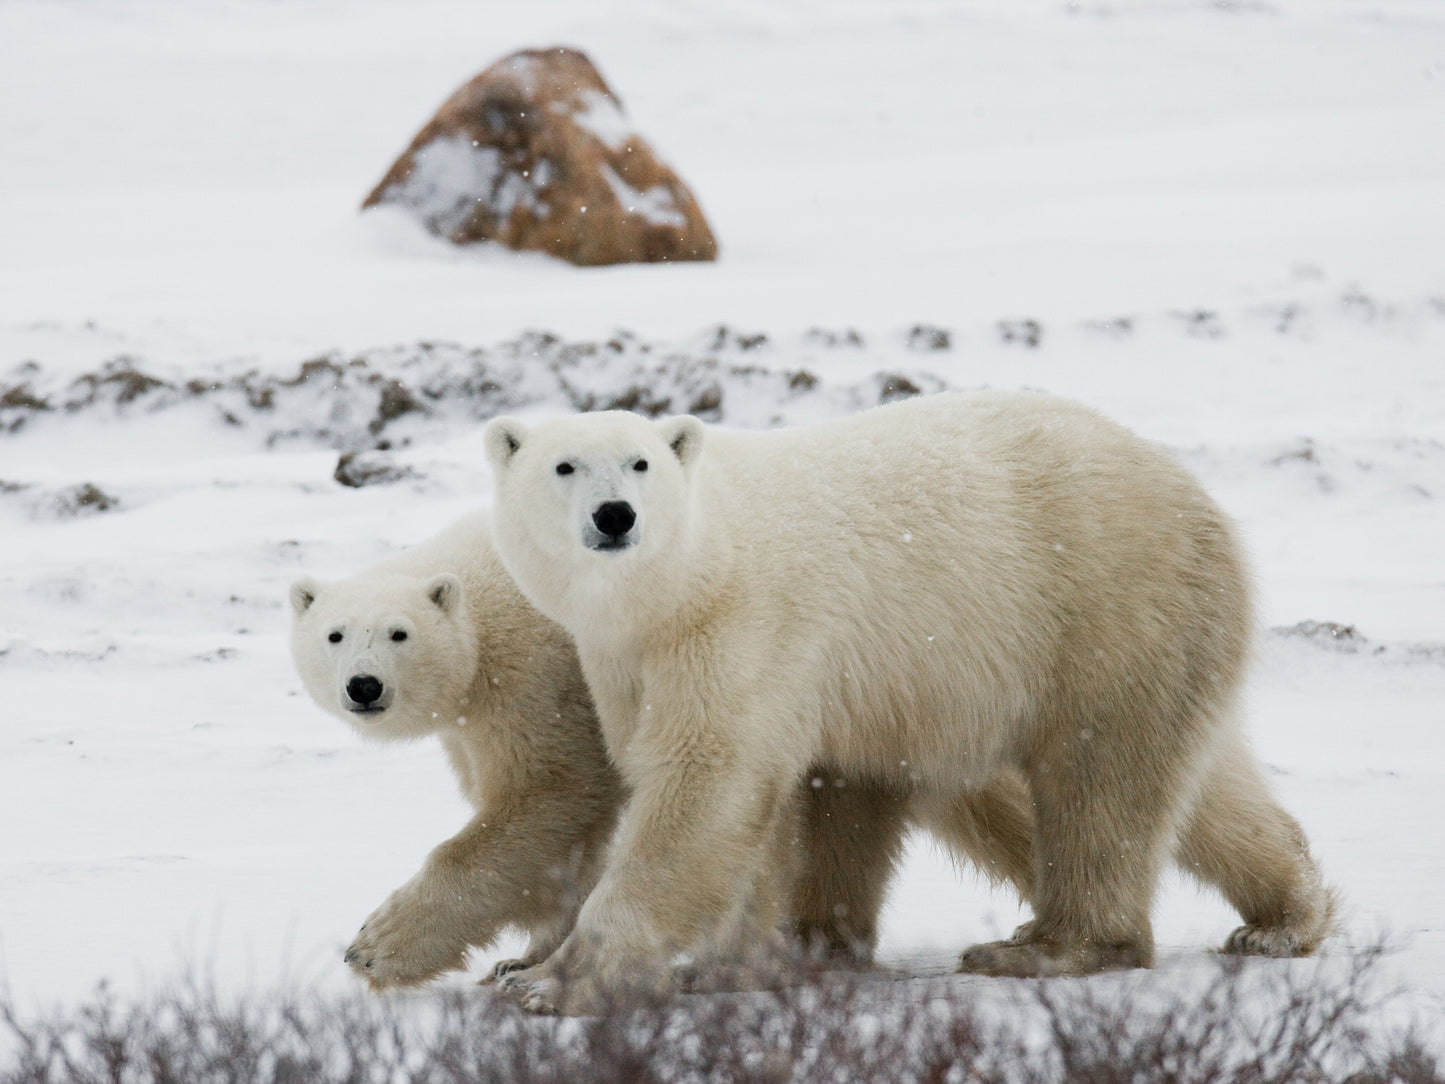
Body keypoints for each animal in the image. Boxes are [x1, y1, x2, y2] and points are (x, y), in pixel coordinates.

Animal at [288, 511, 625, 989]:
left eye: (399, 633)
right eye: (335, 635)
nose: (364, 685)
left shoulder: (540, 676)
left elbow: (547, 790)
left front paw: (375, 948)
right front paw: (522, 959)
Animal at [483, 389, 1339, 1014]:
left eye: (639, 462)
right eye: (563, 466)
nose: (614, 516)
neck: (688, 576)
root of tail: (1194, 497)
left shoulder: (738, 632)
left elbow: (703, 788)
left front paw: (548, 981)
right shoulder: (630, 662)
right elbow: (773, 801)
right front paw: (746, 958)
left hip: (1104, 605)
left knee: (1099, 780)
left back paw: (1047, 946)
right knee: (1194, 782)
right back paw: (1283, 916)